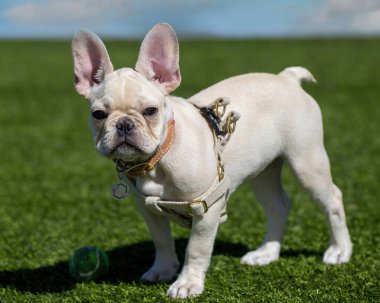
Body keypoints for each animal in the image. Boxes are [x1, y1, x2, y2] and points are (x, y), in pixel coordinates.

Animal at [70, 23, 350, 300]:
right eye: (98, 114)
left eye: (150, 111)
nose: (124, 124)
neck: (158, 159)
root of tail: (287, 78)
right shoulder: (148, 209)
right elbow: (162, 241)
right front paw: (162, 269)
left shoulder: (205, 207)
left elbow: (196, 248)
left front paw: (187, 283)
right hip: (263, 171)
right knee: (278, 206)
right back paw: (266, 253)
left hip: (307, 162)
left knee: (333, 200)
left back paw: (339, 251)